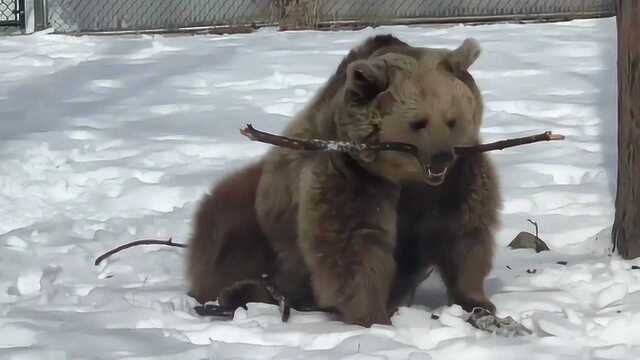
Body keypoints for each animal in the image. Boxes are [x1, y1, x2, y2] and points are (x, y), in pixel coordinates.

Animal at [185, 33, 500, 326]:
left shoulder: (456, 180)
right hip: (261, 215)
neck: (405, 177)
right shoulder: (353, 172)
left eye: (452, 120)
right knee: (224, 231)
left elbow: (462, 233)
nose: (441, 157)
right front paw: (372, 316)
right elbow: (353, 244)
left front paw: (476, 300)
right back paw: (232, 291)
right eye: (418, 122)